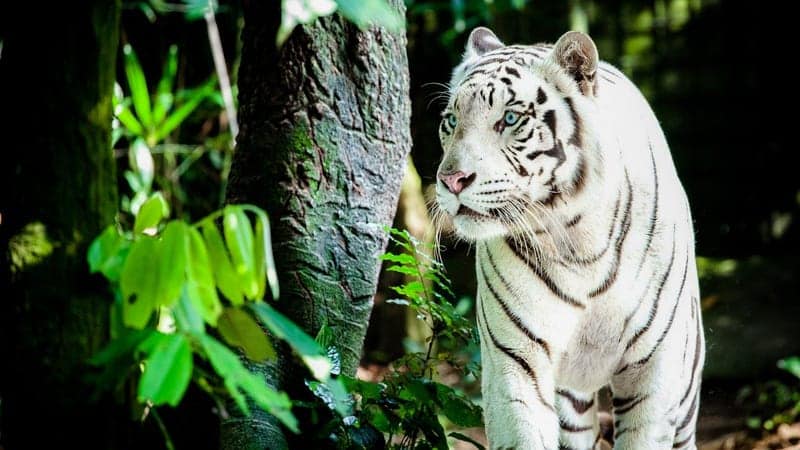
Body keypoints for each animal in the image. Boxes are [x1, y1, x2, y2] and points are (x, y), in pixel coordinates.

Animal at [434, 28, 704, 450]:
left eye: (510, 118)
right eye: (450, 120)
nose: (451, 180)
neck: (577, 238)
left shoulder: (653, 370)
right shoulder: (516, 359)